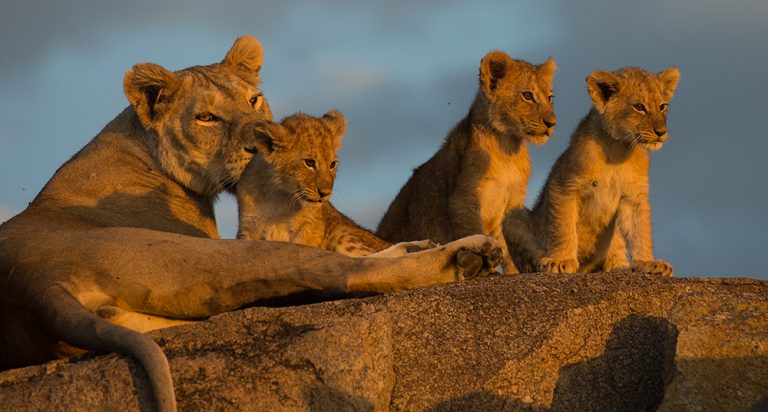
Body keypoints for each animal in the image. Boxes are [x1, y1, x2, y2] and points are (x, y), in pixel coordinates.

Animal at [0, 36, 504, 412]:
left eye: (254, 99)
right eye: (206, 117)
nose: (258, 143)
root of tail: (34, 289)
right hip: (213, 254)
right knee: (346, 273)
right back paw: (464, 255)